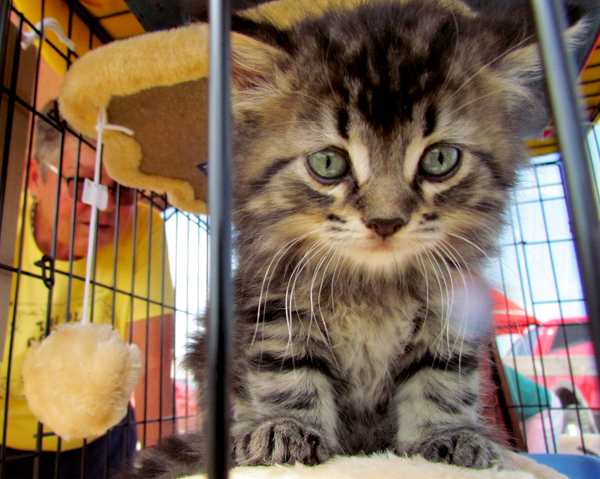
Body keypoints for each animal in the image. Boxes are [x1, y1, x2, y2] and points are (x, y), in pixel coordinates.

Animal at [117, 0, 580, 478]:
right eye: (328, 163)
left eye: (439, 159)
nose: (385, 221)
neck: (371, 285)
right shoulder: (273, 300)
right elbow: (289, 374)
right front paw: (285, 429)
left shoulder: (452, 307)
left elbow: (440, 378)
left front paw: (446, 436)